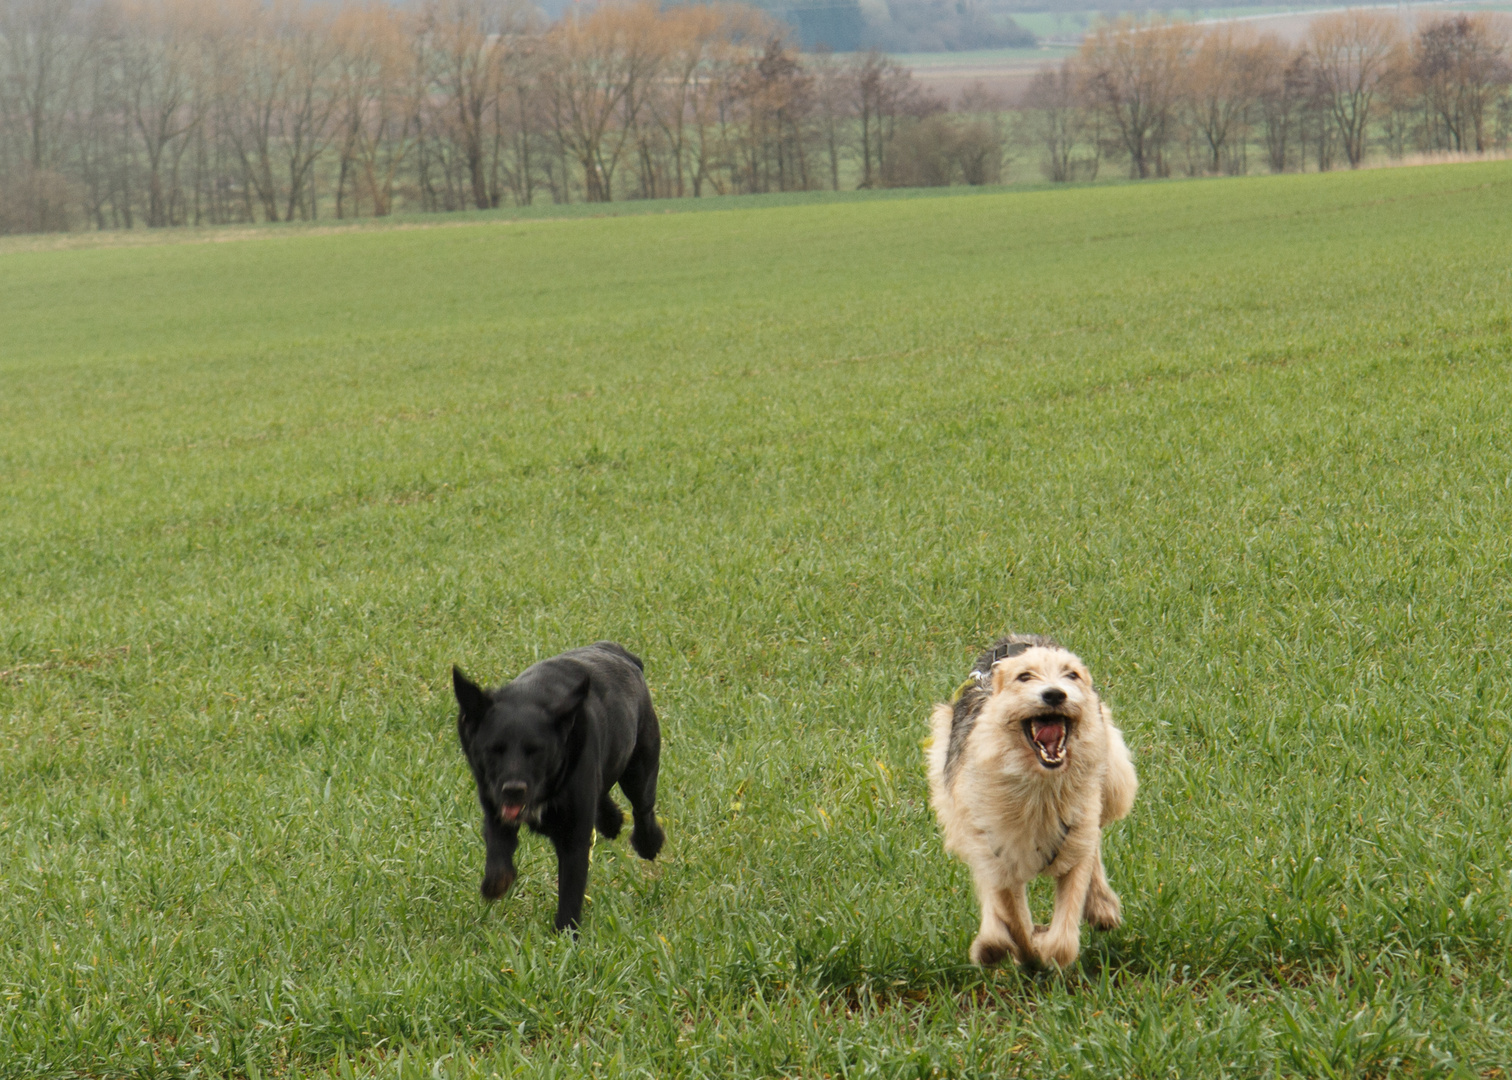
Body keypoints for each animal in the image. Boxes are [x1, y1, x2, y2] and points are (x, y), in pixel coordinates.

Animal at [447, 638, 662, 925]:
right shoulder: (494, 805)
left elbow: (570, 890)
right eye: (494, 749)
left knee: (643, 807)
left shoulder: (575, 835)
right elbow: (498, 851)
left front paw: (566, 932)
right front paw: (495, 883)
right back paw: (612, 821)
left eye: (536, 751)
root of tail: (617, 651)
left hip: (640, 767)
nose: (513, 790)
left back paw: (648, 843)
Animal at [919, 632, 1137, 968]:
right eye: (1024, 677)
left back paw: (1101, 905)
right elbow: (1013, 916)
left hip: (1112, 780)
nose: (1055, 694)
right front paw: (1021, 949)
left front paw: (1044, 948)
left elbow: (1063, 937)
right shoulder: (997, 851)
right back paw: (992, 940)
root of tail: (1018, 638)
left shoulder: (1078, 831)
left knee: (1096, 843)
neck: (1040, 786)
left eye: (1072, 675)